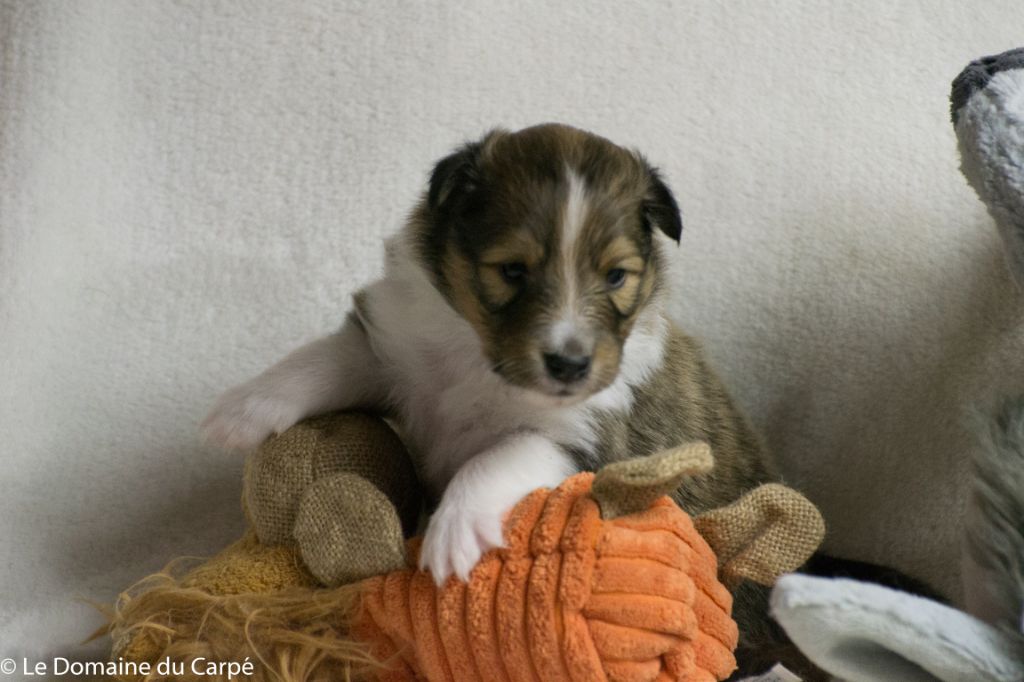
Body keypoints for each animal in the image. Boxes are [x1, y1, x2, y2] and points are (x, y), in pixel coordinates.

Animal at [203, 123, 792, 676]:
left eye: (616, 276)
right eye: (512, 270)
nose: (570, 364)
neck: (478, 361)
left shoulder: (576, 437)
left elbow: (494, 458)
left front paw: (452, 534)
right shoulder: (392, 352)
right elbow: (322, 361)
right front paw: (241, 412)